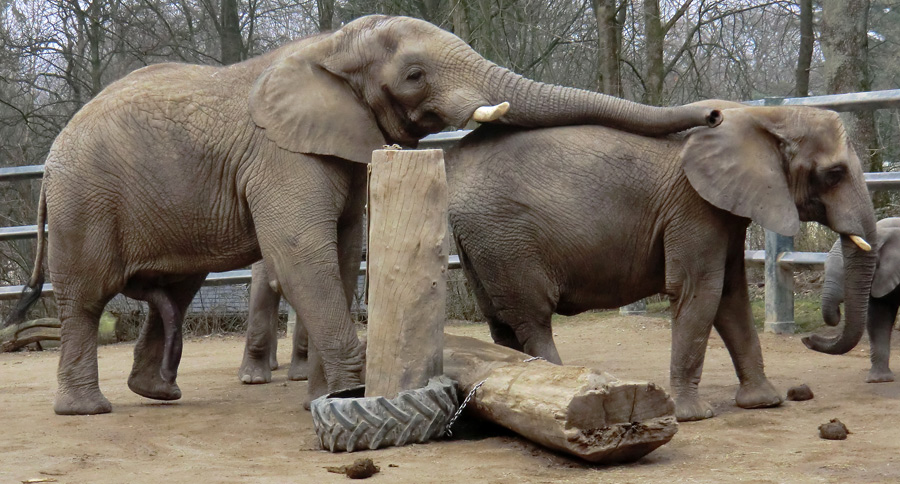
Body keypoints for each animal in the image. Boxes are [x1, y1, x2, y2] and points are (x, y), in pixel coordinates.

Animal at [3, 15, 724, 416]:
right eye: (413, 75)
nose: (716, 113)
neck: (325, 47)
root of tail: (52, 153)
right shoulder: (281, 155)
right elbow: (302, 248)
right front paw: (349, 396)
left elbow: (345, 249)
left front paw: (318, 397)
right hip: (84, 200)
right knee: (86, 299)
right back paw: (88, 410)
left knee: (170, 296)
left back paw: (159, 396)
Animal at [239, 103, 880, 424]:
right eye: (834, 173)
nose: (815, 336)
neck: (763, 114)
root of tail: (450, 165)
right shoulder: (695, 208)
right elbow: (698, 293)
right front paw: (695, 416)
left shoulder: (718, 213)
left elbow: (727, 300)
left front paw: (764, 404)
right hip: (506, 235)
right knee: (530, 316)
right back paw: (557, 386)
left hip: (482, 240)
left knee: (501, 320)